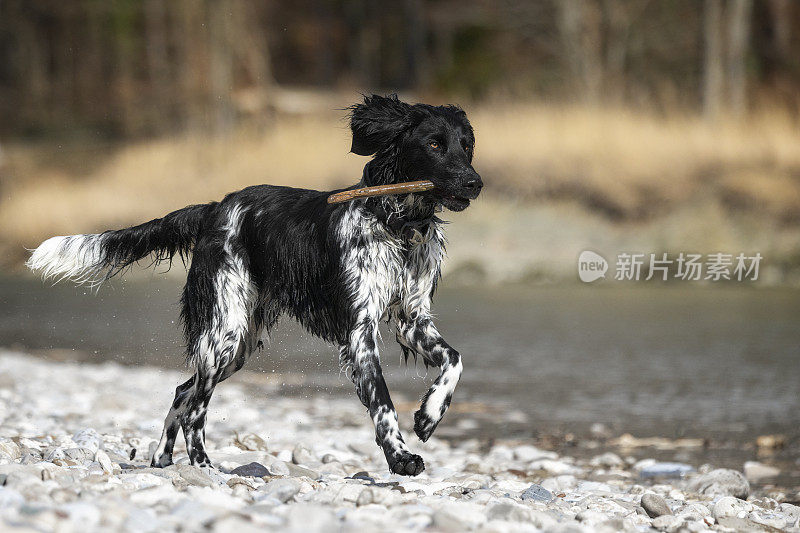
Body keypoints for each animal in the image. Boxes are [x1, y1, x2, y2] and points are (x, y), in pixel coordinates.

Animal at [26, 93, 482, 476]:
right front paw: (401, 457)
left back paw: (163, 458)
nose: (475, 182)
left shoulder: (412, 319)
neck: (397, 225)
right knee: (195, 408)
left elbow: (455, 359)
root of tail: (214, 208)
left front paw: (429, 415)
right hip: (224, 332)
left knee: (182, 392)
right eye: (435, 144)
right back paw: (202, 465)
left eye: (467, 146)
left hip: (239, 342)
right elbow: (384, 404)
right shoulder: (359, 330)